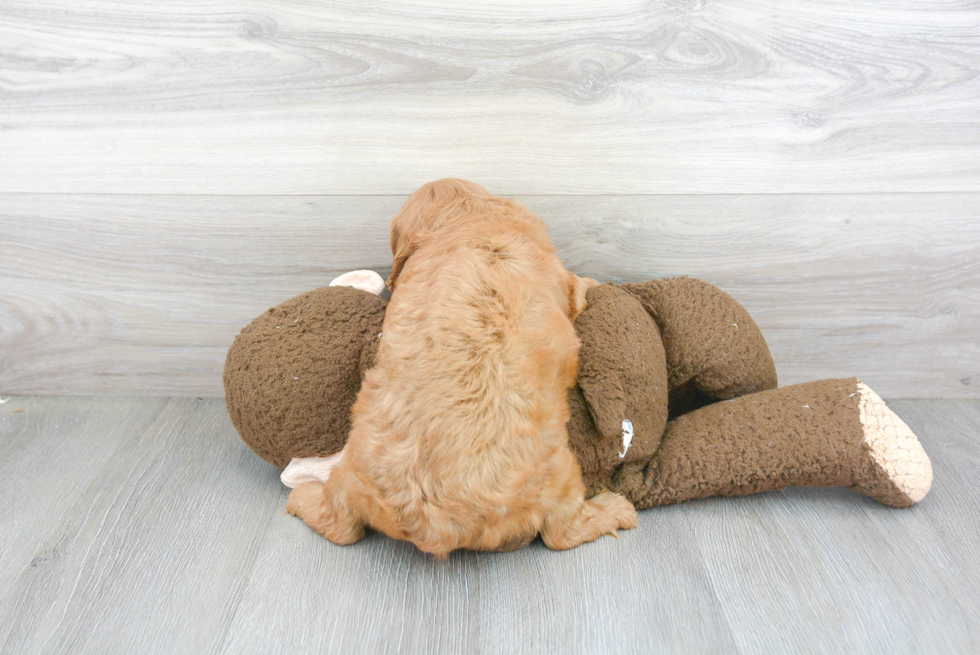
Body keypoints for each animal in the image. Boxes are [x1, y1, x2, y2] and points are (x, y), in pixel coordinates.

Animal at [286, 179, 636, 560]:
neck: (470, 220)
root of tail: (433, 523)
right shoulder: (563, 280)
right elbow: (579, 288)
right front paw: (597, 283)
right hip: (561, 475)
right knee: (562, 531)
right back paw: (617, 509)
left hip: (349, 476)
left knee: (341, 525)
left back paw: (301, 497)